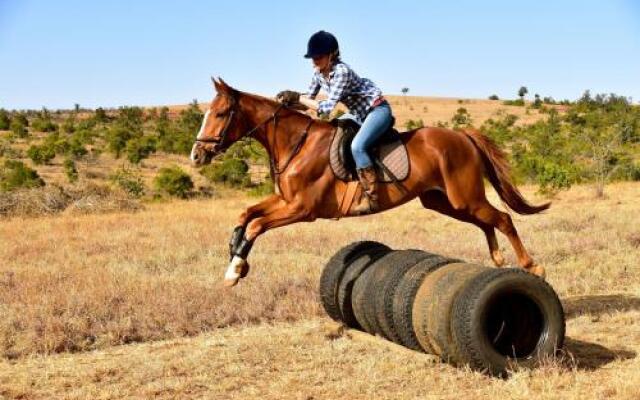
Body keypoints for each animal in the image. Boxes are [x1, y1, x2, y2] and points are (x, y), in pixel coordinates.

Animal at [191, 77, 552, 288]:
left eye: (220, 114)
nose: (197, 155)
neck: (295, 143)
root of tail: (461, 135)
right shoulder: (285, 201)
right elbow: (245, 216)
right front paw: (235, 261)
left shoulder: (302, 209)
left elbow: (255, 225)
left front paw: (235, 269)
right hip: (444, 201)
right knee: (486, 221)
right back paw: (498, 259)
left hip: (463, 197)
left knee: (502, 218)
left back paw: (532, 267)